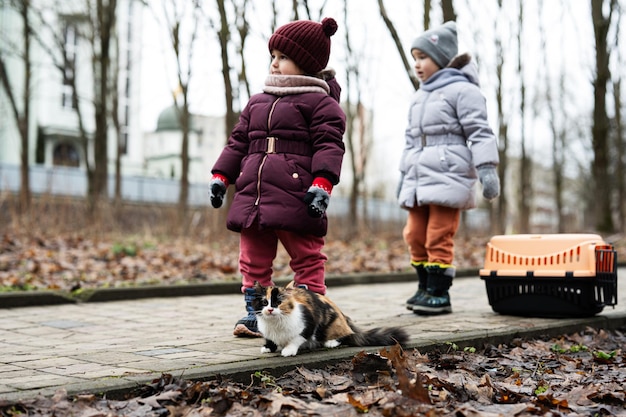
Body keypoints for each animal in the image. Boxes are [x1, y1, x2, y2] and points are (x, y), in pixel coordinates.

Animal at [251, 282, 408, 356]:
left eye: (278, 302)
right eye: (264, 302)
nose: (270, 310)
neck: (275, 323)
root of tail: (346, 319)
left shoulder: (309, 323)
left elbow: (297, 338)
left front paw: (288, 350)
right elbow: (270, 339)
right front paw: (268, 347)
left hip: (332, 324)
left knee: (347, 335)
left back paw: (331, 342)